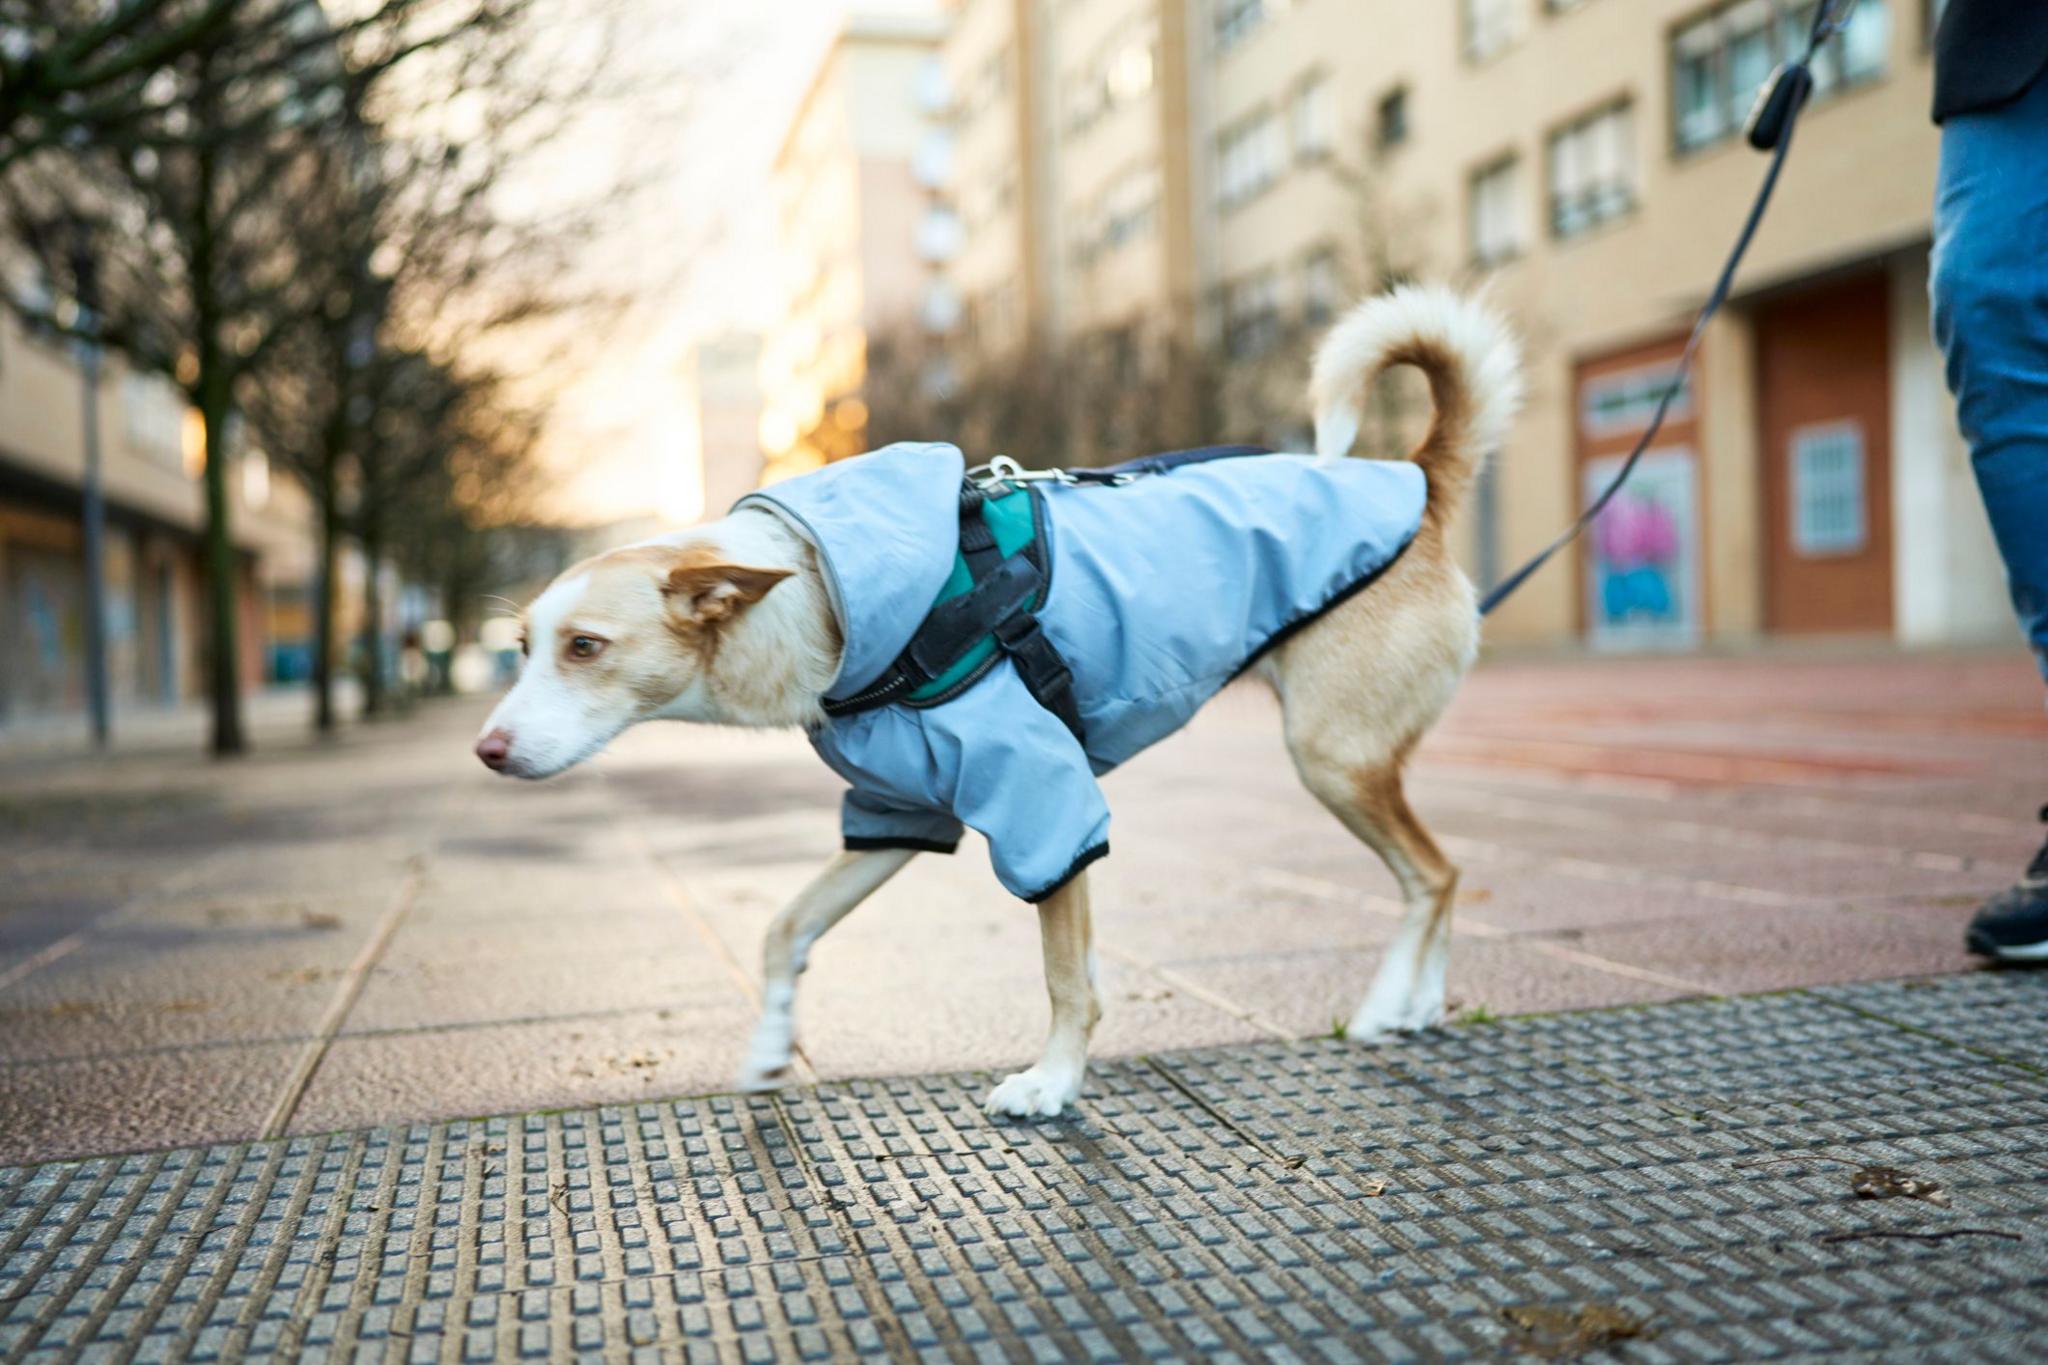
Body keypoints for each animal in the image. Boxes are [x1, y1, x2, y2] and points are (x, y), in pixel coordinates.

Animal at [471, 288, 1515, 1121]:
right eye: (522, 648)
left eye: (585, 647)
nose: (486, 749)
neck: (818, 588)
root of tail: (1418, 480)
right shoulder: (896, 813)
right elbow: (784, 929)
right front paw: (771, 1046)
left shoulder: (1044, 804)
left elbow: (1065, 978)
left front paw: (1052, 1084)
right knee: (1445, 874)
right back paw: (1417, 1005)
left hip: (1330, 756)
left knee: (1432, 874)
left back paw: (1386, 1004)